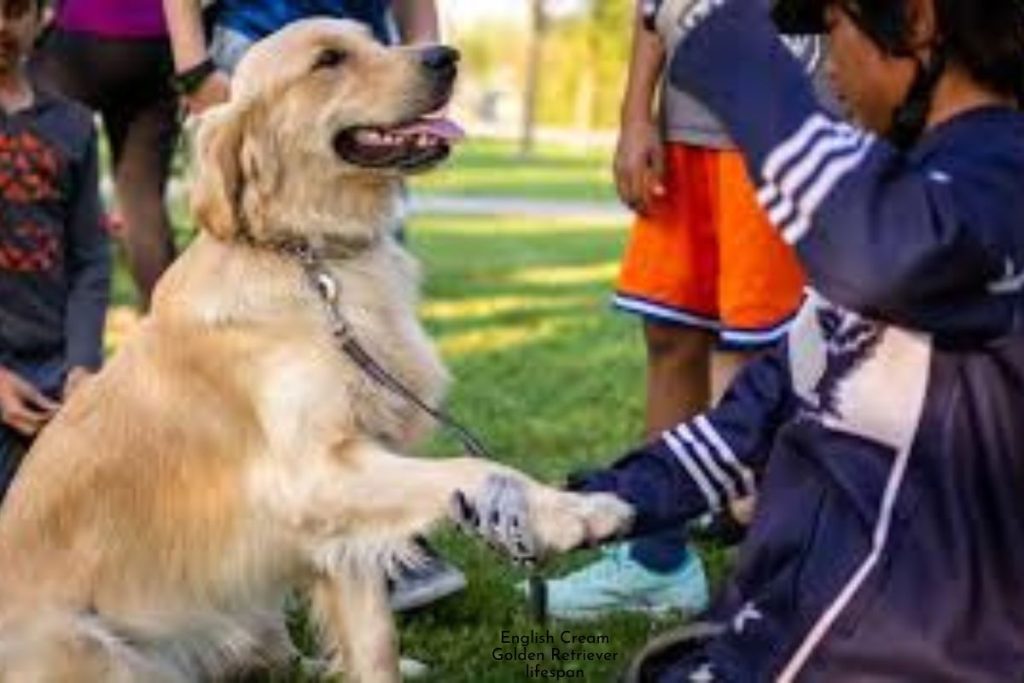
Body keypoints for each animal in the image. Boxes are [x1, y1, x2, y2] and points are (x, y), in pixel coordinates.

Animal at [0, 15, 630, 683]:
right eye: (329, 60)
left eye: (373, 39)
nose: (447, 56)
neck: (313, 256)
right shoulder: (316, 472)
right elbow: (477, 468)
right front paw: (576, 513)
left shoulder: (342, 513)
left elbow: (374, 638)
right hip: (97, 649)